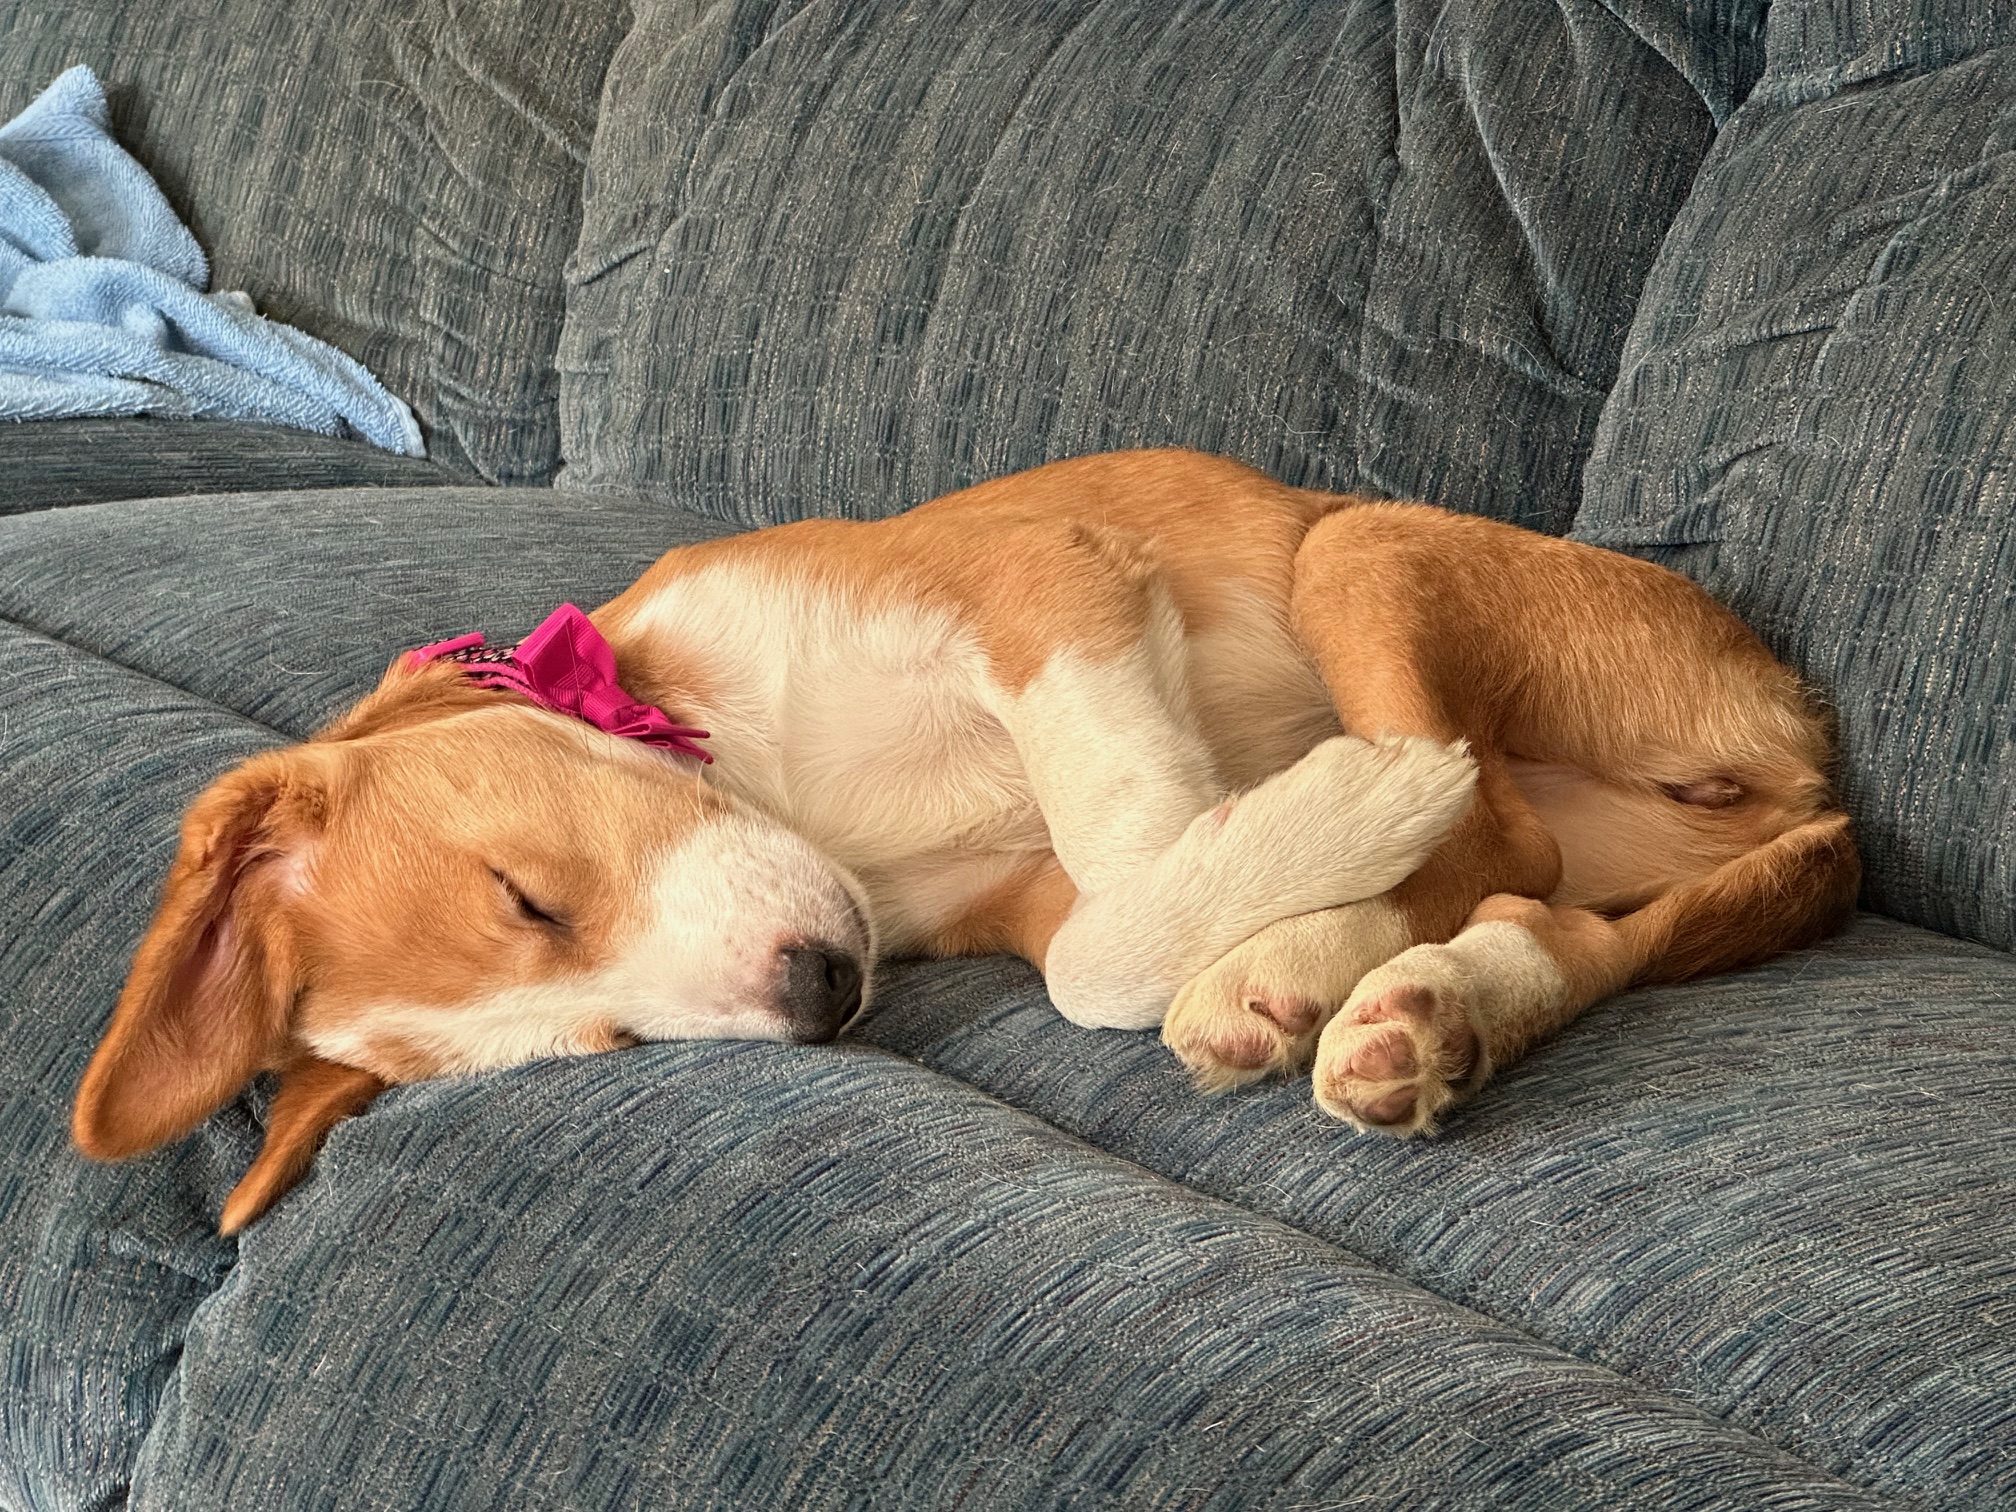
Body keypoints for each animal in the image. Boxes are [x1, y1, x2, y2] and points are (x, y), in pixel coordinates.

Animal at [71, 450, 1859, 1233]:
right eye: (604, 1042)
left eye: (526, 896)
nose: (820, 993)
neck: (786, 778)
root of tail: (1814, 767)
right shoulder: (1022, 891)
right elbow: (1096, 945)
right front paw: (1287, 912)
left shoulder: (1046, 586)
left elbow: (1130, 884)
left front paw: (1323, 831)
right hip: (1597, 861)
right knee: (1549, 910)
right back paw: (1396, 1005)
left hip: (1356, 549)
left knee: (1492, 823)